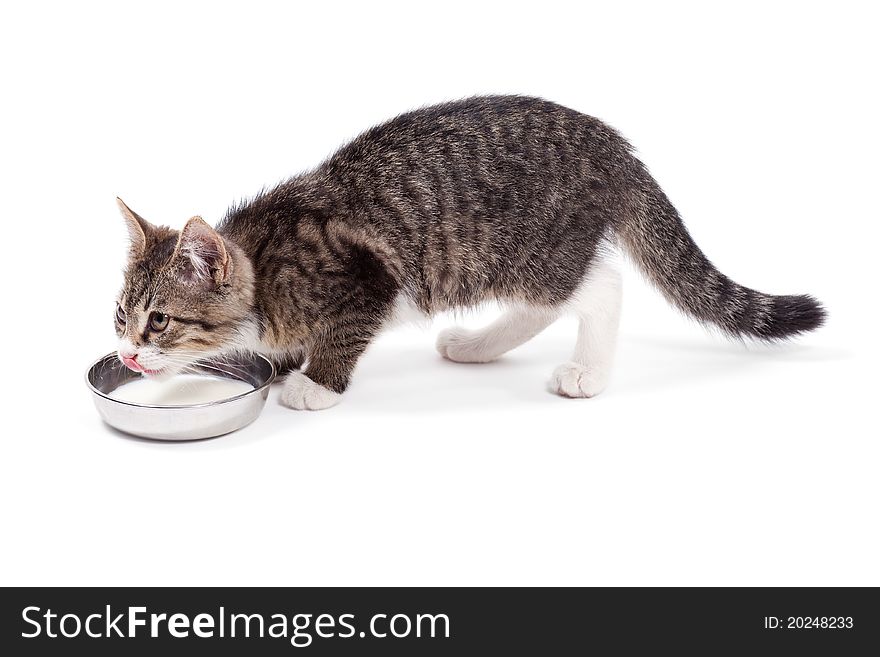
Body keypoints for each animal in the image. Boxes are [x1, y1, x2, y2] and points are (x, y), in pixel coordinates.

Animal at [115, 95, 824, 408]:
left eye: (160, 320)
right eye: (121, 318)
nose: (126, 353)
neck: (265, 266)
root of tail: (612, 144)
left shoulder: (364, 280)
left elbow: (343, 335)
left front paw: (315, 385)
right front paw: (289, 360)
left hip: (524, 251)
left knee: (600, 289)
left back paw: (588, 372)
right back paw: (478, 345)